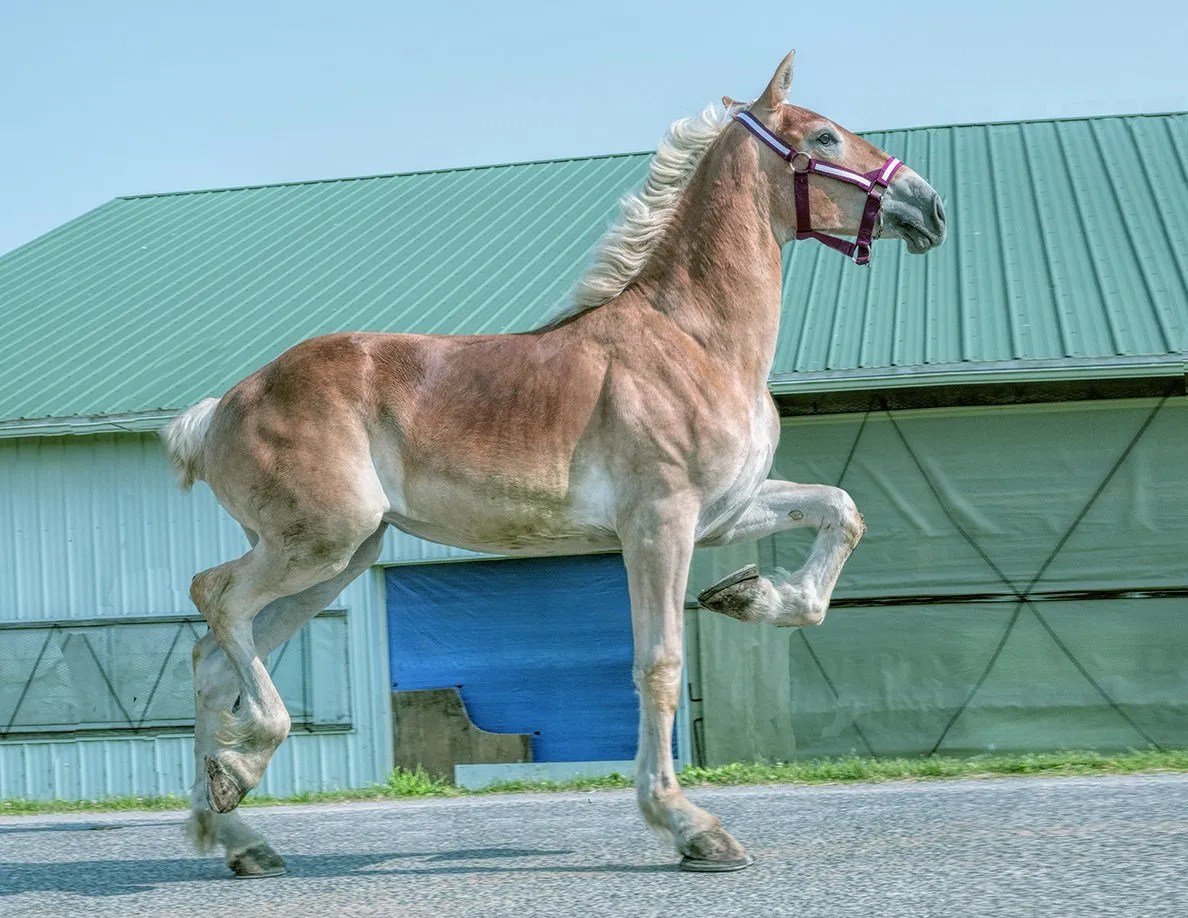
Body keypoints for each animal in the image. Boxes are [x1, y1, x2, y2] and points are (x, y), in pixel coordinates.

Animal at [162, 50, 947, 876]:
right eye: (824, 136)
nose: (929, 207)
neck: (694, 339)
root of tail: (220, 409)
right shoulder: (660, 525)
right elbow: (657, 665)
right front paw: (690, 826)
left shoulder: (725, 513)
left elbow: (840, 512)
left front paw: (754, 595)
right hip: (320, 542)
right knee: (216, 599)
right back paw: (242, 768)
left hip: (340, 558)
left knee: (213, 657)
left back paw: (237, 830)